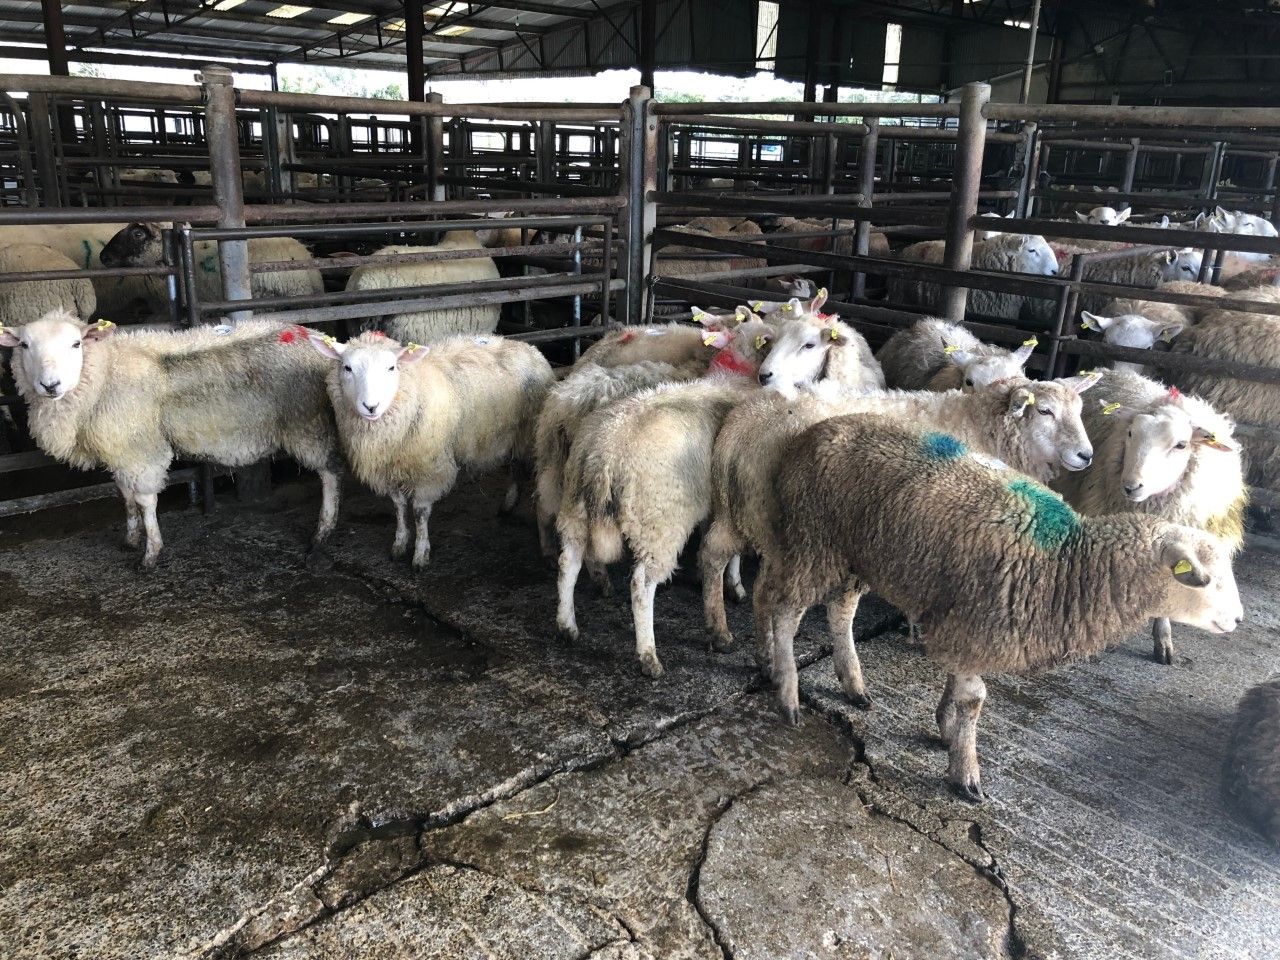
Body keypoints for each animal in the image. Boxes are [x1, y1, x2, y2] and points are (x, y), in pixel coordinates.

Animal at [1, 311, 342, 568]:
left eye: (75, 344)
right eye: (24, 345)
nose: (50, 385)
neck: (106, 373)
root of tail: (317, 337)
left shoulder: (141, 449)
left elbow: (145, 501)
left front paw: (150, 554)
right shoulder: (120, 450)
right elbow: (125, 496)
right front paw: (131, 538)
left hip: (308, 423)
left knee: (329, 473)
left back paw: (322, 532)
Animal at [309, 330, 554, 568]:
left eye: (391, 367)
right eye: (347, 368)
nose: (371, 407)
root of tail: (525, 345)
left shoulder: (428, 471)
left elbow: (420, 513)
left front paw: (420, 554)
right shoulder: (390, 469)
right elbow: (399, 507)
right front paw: (399, 544)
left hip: (529, 434)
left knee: (523, 471)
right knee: (516, 469)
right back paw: (508, 506)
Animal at [702, 374, 1100, 677]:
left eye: (1080, 411)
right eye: (1044, 411)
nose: (1086, 456)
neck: (980, 425)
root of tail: (744, 423)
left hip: (740, 506)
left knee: (713, 552)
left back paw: (721, 630)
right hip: (774, 517)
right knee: (761, 588)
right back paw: (764, 654)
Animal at [761, 414, 1242, 799]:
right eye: (1208, 577)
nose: (1238, 619)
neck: (1066, 563)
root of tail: (812, 431)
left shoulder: (970, 620)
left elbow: (958, 687)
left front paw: (946, 729)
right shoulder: (976, 620)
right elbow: (974, 698)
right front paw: (965, 772)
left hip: (857, 549)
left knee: (838, 611)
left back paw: (851, 684)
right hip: (813, 536)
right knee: (785, 610)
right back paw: (788, 696)